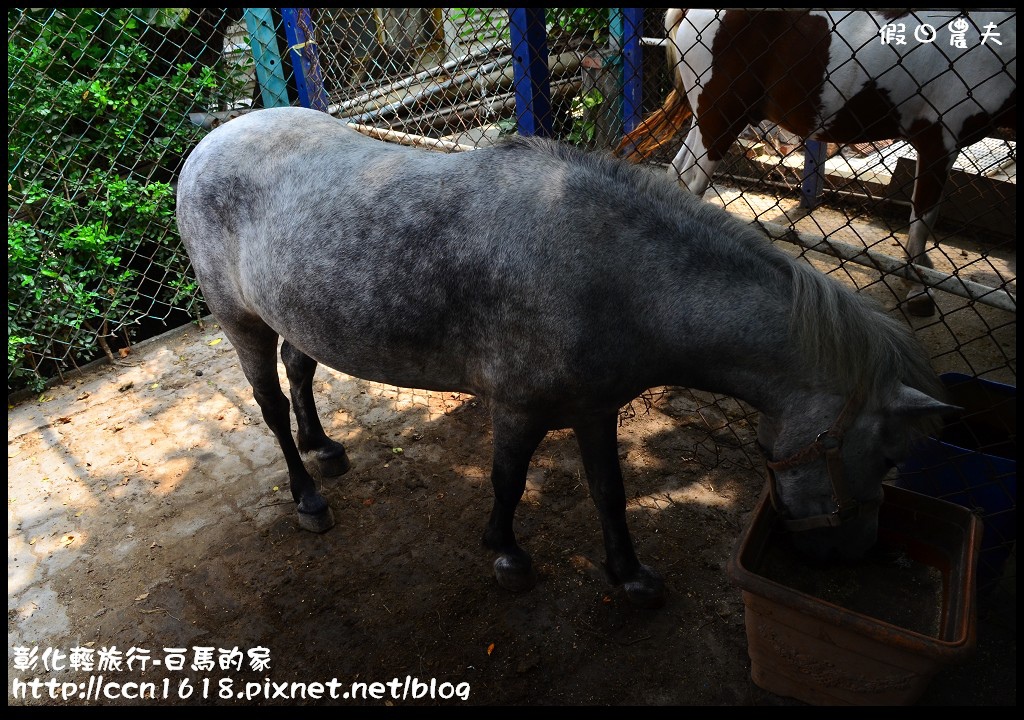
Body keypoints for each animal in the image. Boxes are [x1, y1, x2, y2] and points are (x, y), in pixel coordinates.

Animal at [174, 107, 950, 606]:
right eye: (886, 456)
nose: (853, 552)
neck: (614, 275)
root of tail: (209, 141)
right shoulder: (520, 406)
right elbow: (508, 479)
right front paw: (507, 554)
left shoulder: (595, 408)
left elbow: (610, 491)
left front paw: (629, 575)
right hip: (240, 321)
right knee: (271, 406)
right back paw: (307, 493)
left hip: (295, 314)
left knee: (301, 374)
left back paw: (325, 446)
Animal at [614, 9, 1015, 315]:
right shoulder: (939, 139)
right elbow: (922, 218)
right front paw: (918, 290)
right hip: (722, 116)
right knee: (693, 182)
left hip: (707, 118)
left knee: (677, 174)